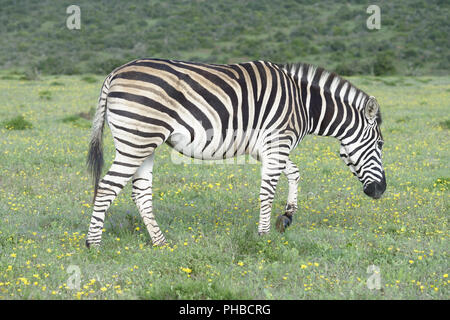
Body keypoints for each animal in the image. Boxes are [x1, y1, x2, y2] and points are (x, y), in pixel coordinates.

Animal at [85, 58, 386, 248]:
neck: (303, 104)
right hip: (137, 140)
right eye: (381, 145)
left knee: (140, 192)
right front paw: (264, 234)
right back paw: (93, 244)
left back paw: (160, 242)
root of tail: (114, 73)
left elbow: (295, 173)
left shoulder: (267, 148)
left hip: (144, 143)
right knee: (107, 186)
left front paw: (287, 216)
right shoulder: (278, 141)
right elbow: (268, 190)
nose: (380, 190)